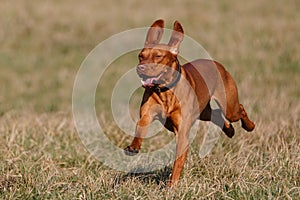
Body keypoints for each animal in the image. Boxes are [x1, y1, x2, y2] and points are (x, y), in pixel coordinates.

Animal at [123, 19, 254, 187]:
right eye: (141, 56)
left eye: (158, 56)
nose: (140, 68)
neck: (165, 91)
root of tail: (217, 64)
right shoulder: (147, 115)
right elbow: (140, 128)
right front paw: (133, 146)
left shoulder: (182, 133)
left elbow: (177, 162)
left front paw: (172, 187)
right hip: (204, 112)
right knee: (217, 114)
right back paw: (229, 130)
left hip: (229, 108)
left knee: (240, 109)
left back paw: (249, 126)